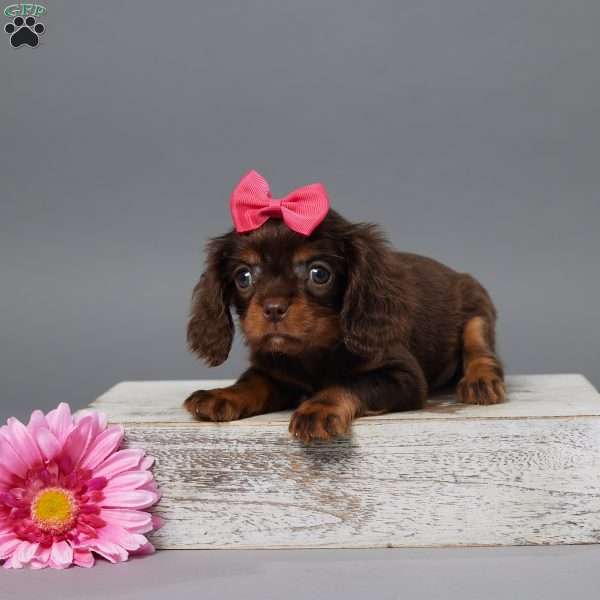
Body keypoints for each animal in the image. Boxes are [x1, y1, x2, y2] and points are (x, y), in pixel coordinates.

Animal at [185, 210, 504, 440]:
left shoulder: (404, 376)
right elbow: (252, 382)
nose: (273, 308)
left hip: (476, 310)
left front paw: (319, 407)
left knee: (479, 347)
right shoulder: (274, 371)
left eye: (319, 273)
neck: (313, 351)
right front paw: (223, 394)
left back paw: (481, 381)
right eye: (244, 277)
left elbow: (350, 382)